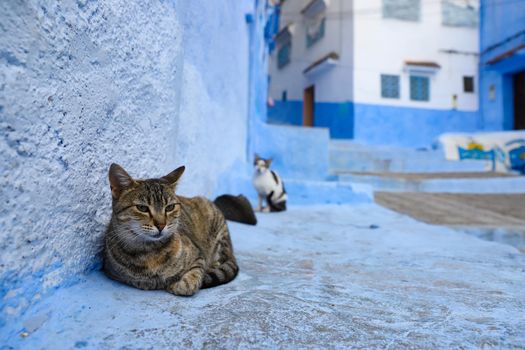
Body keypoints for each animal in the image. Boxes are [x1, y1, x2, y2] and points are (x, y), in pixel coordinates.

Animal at [103, 163, 238, 296]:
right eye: (142, 208)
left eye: (170, 207)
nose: (161, 225)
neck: (150, 251)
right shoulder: (113, 272)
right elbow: (140, 280)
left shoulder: (198, 255)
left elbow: (195, 273)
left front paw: (182, 284)